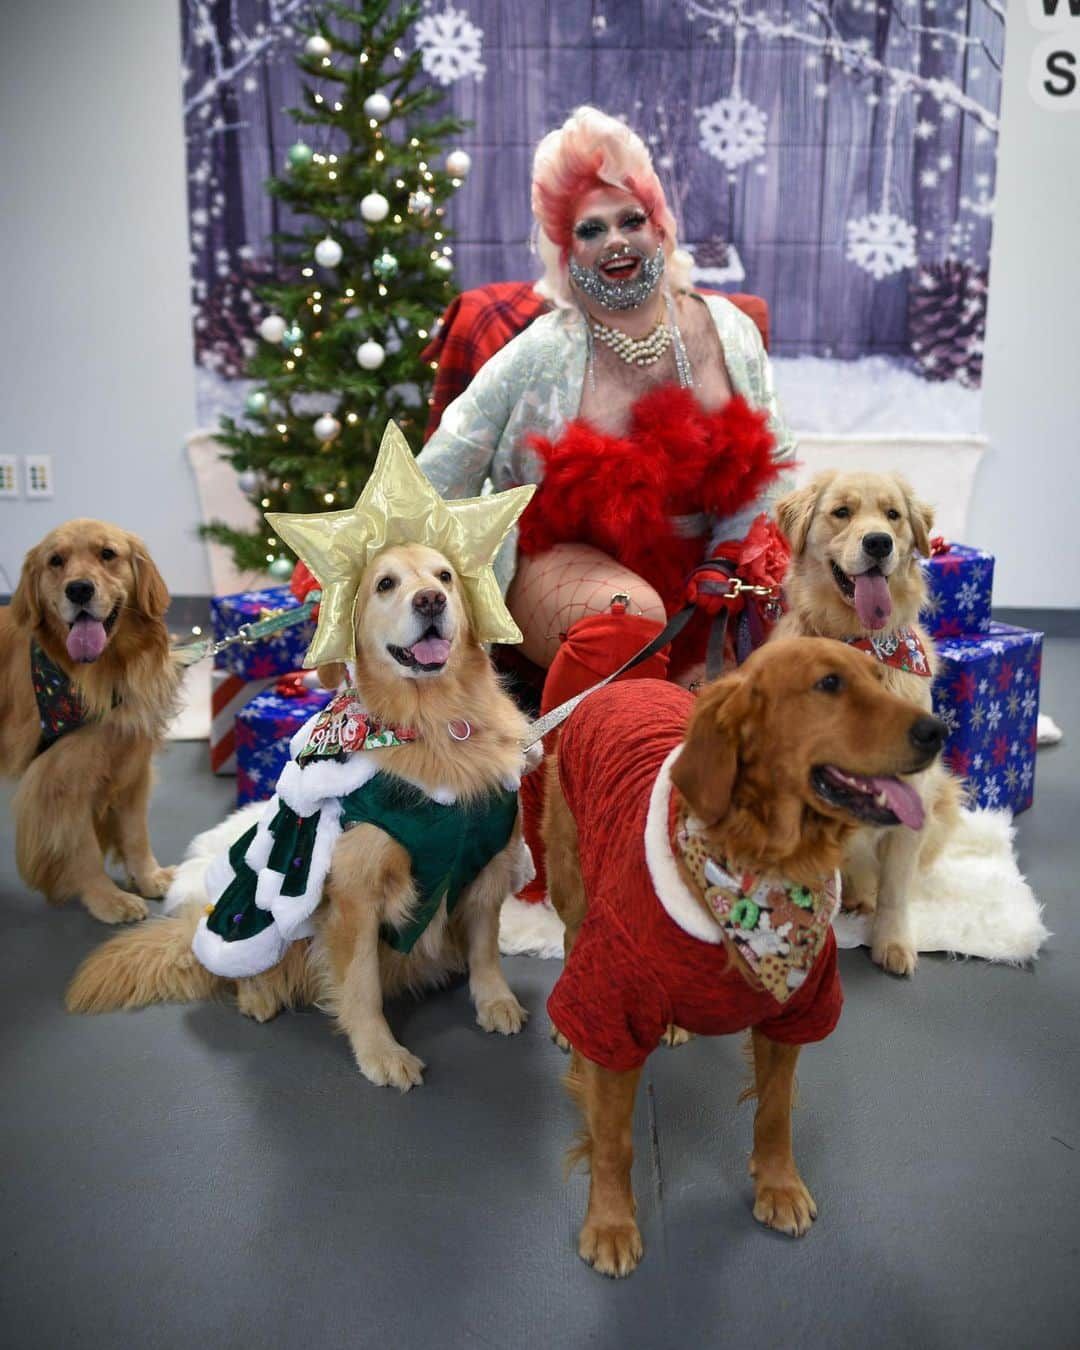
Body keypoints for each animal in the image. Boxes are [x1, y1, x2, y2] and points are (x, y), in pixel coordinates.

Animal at [0, 521, 179, 923]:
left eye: (107, 554)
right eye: (55, 561)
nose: (79, 589)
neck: (104, 673)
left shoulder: (131, 764)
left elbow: (135, 833)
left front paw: (148, 877)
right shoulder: (62, 781)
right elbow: (82, 848)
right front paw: (107, 899)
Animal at [67, 426, 540, 1090]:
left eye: (446, 576)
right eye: (384, 584)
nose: (429, 600)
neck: (434, 724)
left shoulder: (488, 864)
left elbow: (485, 947)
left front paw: (494, 1000)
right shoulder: (355, 896)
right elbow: (361, 984)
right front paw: (380, 1052)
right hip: (254, 915)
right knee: (241, 966)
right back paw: (259, 995)